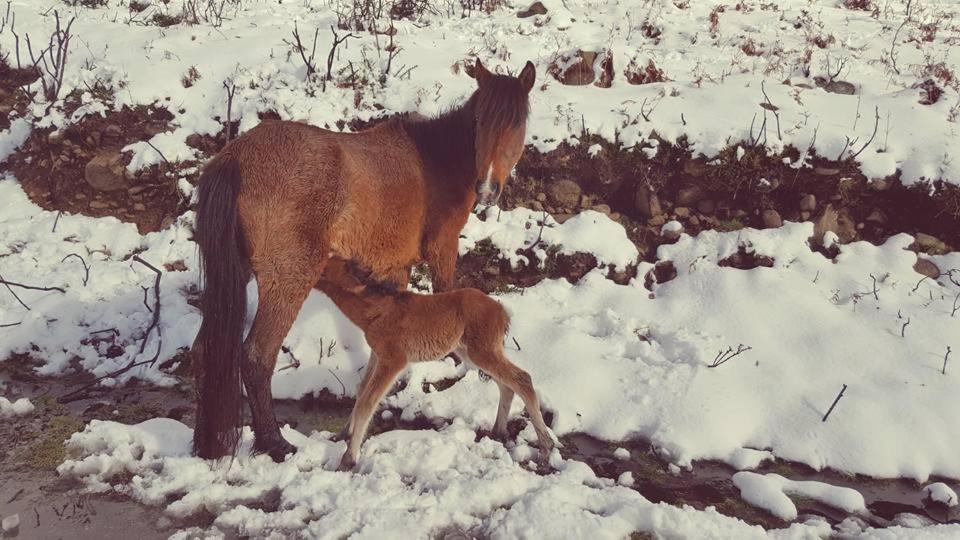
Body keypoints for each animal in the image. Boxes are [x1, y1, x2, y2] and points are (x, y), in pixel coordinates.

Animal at [316, 255, 556, 470]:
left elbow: (368, 401)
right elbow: (361, 389)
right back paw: (499, 431)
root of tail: (503, 312)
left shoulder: (394, 359)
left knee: (522, 378)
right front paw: (343, 434)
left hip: (481, 351)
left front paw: (348, 458)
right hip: (470, 352)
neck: (375, 313)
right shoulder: (377, 355)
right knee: (506, 385)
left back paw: (546, 448)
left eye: (324, 265)